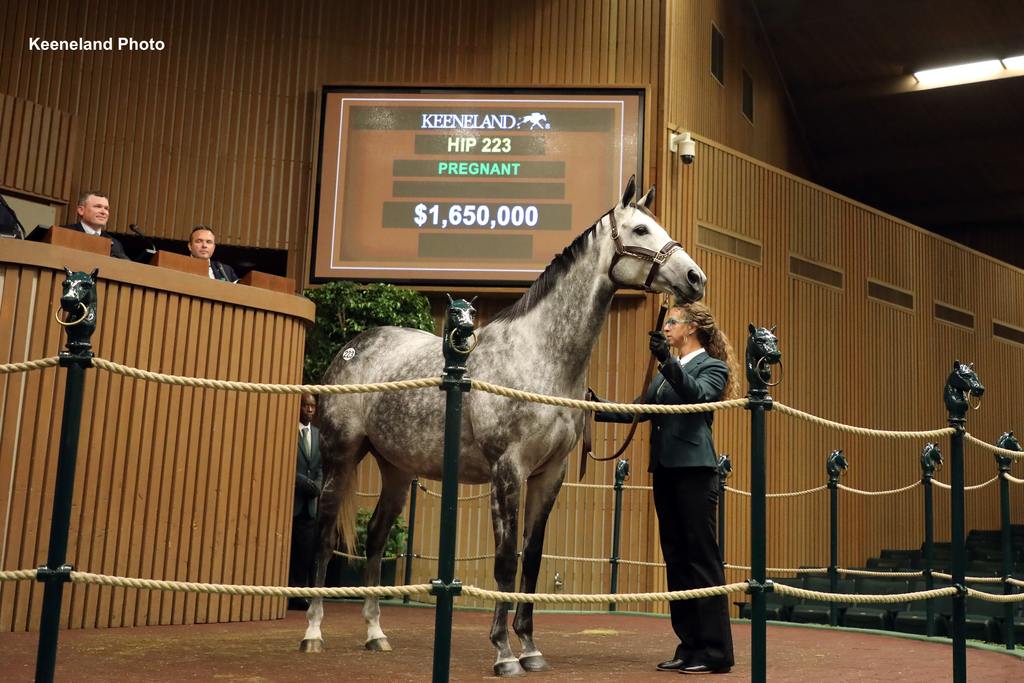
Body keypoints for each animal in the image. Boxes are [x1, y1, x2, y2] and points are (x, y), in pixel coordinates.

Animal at [299, 176, 708, 679]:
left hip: (397, 470)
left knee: (375, 536)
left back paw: (376, 633)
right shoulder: (507, 470)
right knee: (323, 537)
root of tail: (354, 347)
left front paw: (530, 647)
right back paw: (313, 631)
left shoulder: (550, 474)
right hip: (341, 457)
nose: (695, 278)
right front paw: (503, 652)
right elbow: (505, 558)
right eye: (640, 229)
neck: (538, 355)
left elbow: (531, 558)